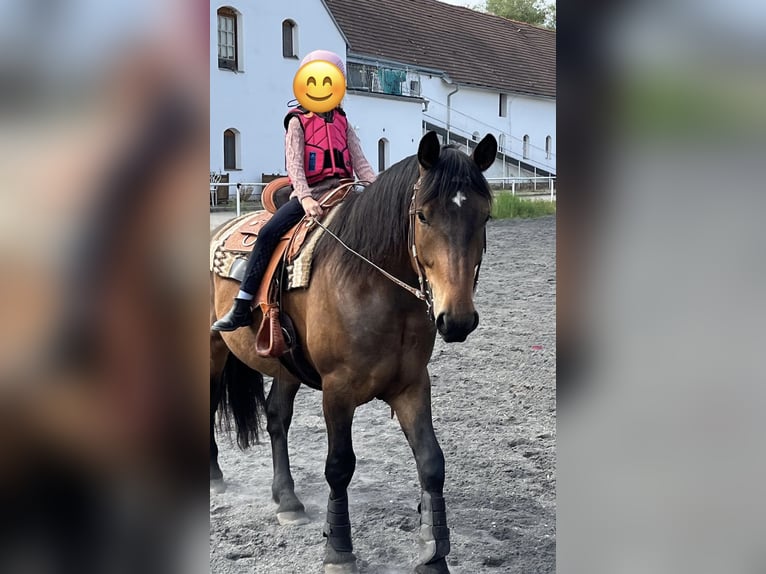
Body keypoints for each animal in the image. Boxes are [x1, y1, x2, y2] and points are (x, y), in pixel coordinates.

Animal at [210, 131, 497, 574]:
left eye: (483, 217)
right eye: (423, 216)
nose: (458, 319)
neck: (372, 283)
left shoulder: (412, 385)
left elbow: (432, 462)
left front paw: (434, 554)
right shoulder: (337, 391)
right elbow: (339, 467)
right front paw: (339, 550)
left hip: (286, 368)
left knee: (276, 417)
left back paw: (287, 499)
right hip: (212, 350)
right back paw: (215, 475)